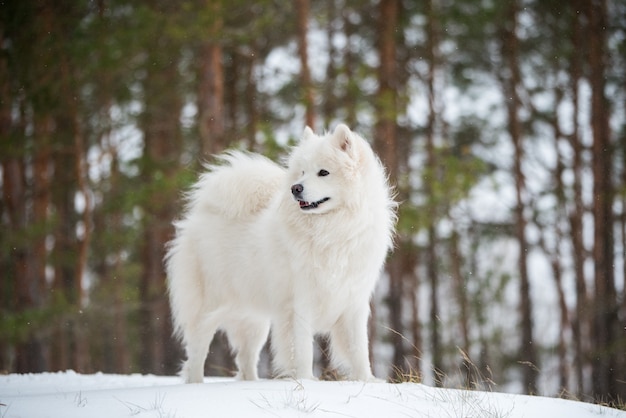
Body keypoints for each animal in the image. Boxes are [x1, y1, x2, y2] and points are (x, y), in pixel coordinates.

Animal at [163, 123, 392, 382]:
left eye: (323, 172)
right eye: (302, 172)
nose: (295, 188)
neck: (331, 230)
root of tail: (201, 214)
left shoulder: (353, 300)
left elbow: (358, 348)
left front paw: (367, 380)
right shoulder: (299, 303)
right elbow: (302, 349)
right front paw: (306, 380)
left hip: (254, 319)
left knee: (245, 358)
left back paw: (250, 383)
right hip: (210, 305)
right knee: (197, 349)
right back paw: (195, 383)